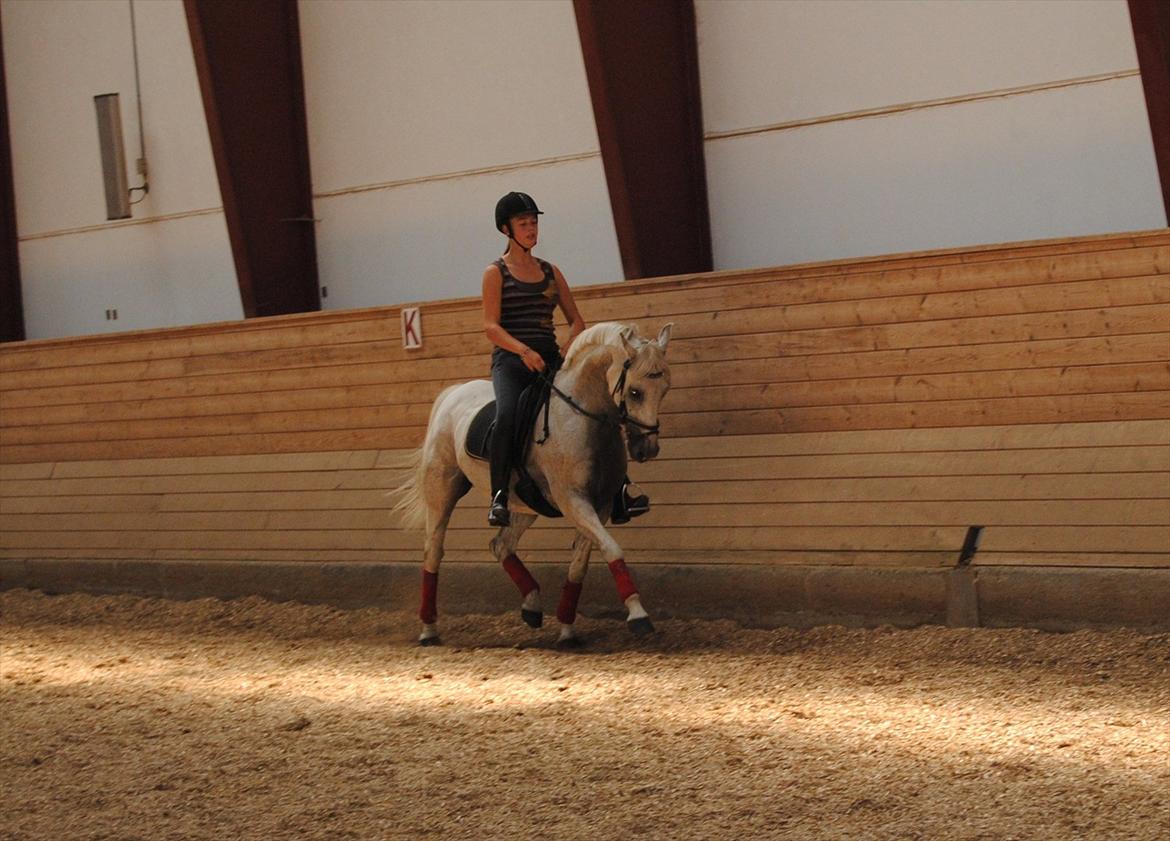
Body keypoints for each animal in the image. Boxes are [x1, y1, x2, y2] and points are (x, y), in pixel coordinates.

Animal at [389, 321, 673, 647]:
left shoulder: (599, 506)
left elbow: (580, 564)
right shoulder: (573, 500)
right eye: (635, 392)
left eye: (665, 389)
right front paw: (639, 615)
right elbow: (613, 549)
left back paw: (532, 605)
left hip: (523, 503)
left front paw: (567, 631)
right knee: (433, 551)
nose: (646, 450)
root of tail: (453, 393)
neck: (584, 415)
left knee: (501, 544)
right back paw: (428, 630)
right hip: (443, 489)